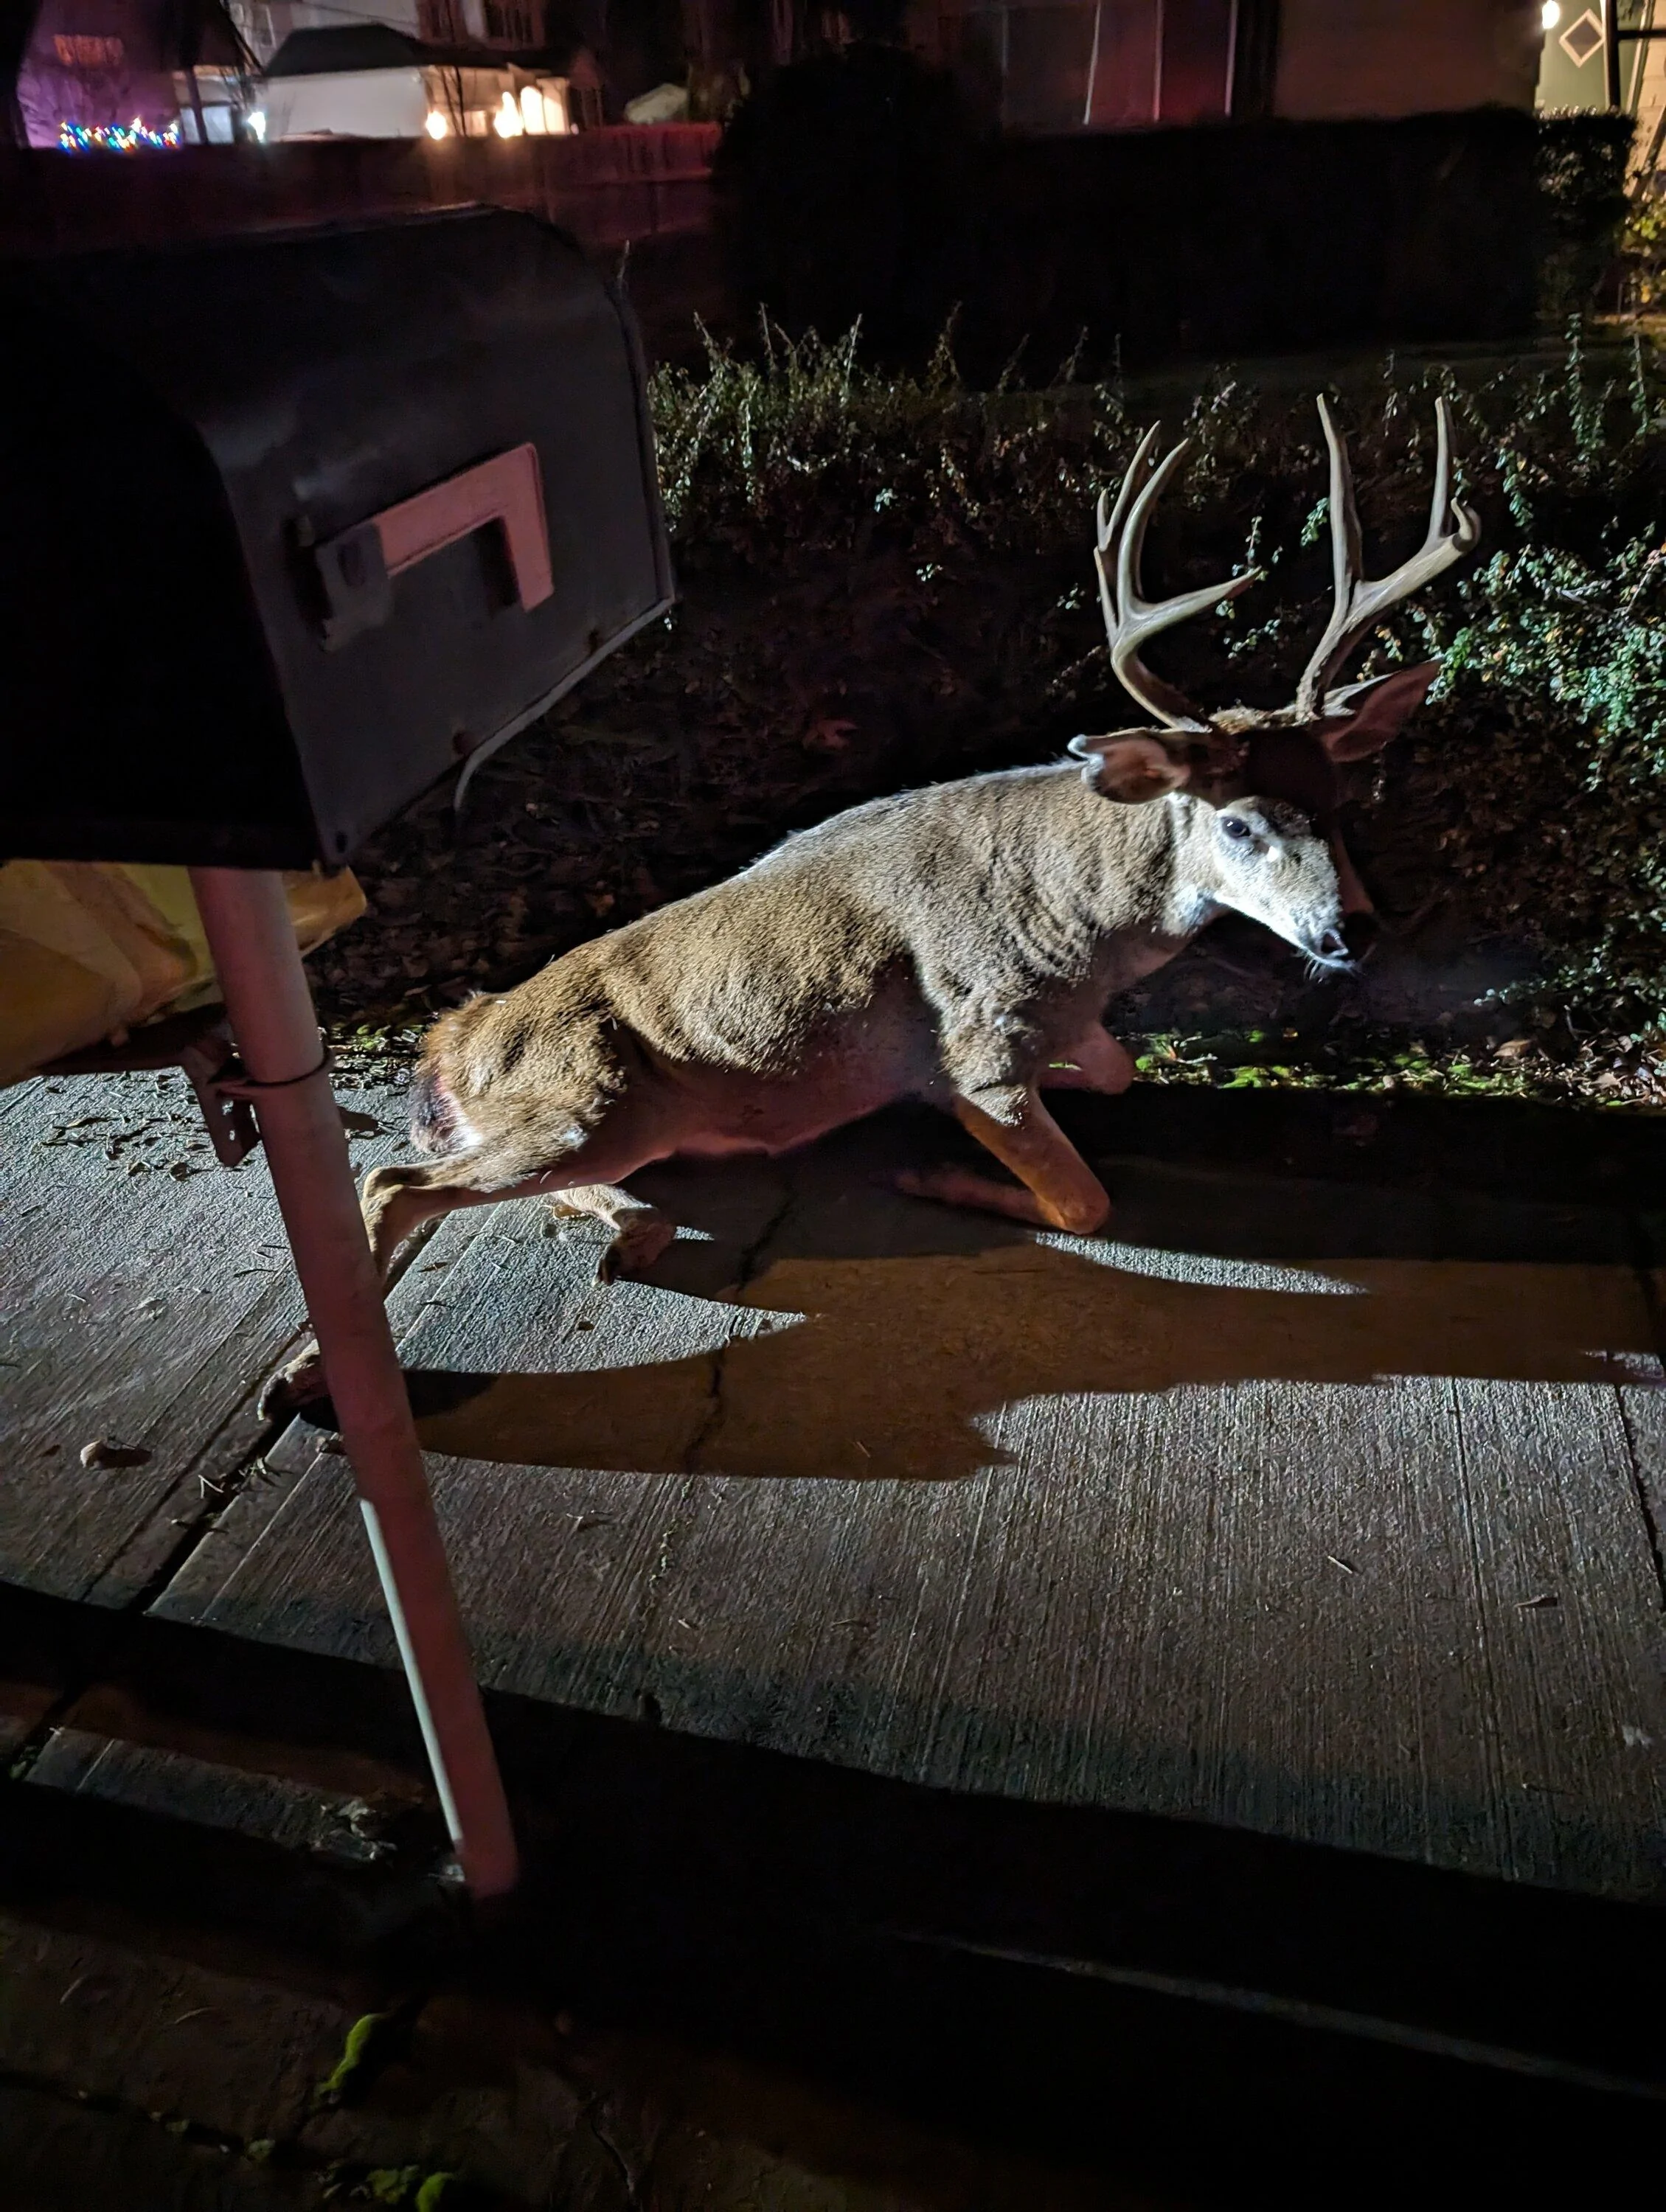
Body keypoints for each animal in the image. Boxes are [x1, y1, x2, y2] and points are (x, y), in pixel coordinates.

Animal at [266, 398, 1478, 1413]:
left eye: (1342, 803)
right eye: (1238, 824)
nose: (1352, 931)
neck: (1080, 932)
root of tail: (451, 1041)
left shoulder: (1069, 1029)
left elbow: (1121, 1070)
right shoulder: (977, 1046)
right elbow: (1080, 1200)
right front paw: (933, 1173)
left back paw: (632, 1232)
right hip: (588, 1099)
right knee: (391, 1180)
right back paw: (311, 1376)